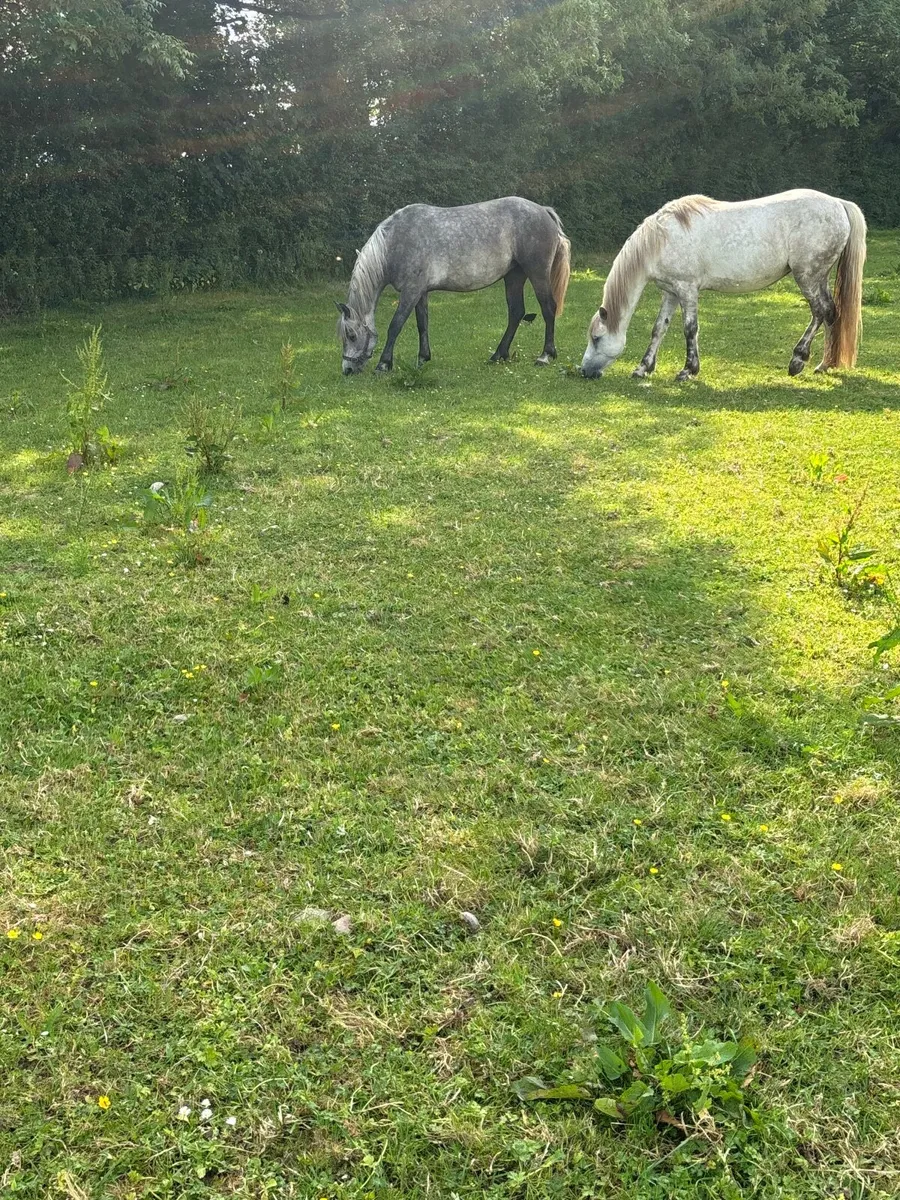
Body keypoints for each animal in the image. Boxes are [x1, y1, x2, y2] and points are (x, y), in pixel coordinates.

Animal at [336, 197, 571, 374]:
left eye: (352, 335)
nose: (347, 370)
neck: (394, 243)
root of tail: (544, 211)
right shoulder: (420, 292)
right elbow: (422, 324)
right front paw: (422, 359)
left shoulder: (411, 291)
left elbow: (396, 325)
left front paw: (384, 364)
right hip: (514, 276)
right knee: (516, 312)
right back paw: (498, 355)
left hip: (537, 273)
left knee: (548, 308)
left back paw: (545, 355)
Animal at [580, 189, 867, 381]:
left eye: (596, 338)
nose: (584, 371)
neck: (661, 239)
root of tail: (838, 204)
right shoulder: (670, 292)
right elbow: (659, 329)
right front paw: (643, 368)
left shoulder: (687, 289)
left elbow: (689, 329)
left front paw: (688, 370)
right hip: (820, 277)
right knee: (831, 313)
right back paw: (825, 364)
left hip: (807, 276)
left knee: (820, 312)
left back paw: (799, 361)